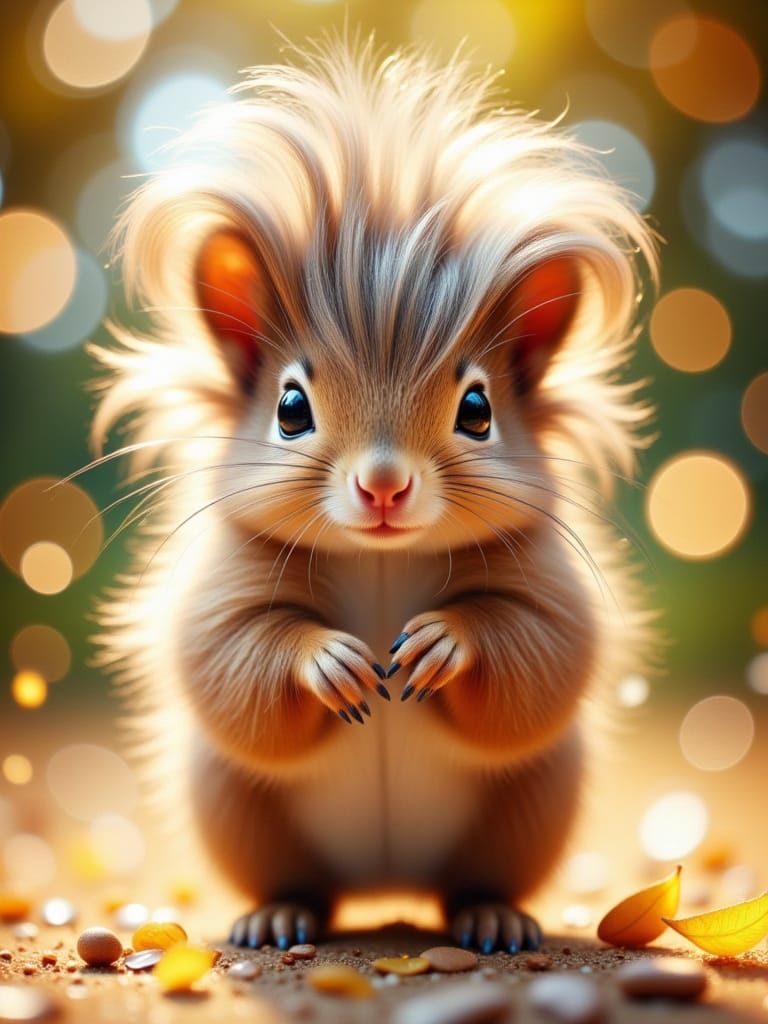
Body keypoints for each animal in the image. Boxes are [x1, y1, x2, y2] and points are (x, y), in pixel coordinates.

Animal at [89, 37, 657, 953]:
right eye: (290, 408)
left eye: (478, 410)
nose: (383, 485)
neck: (383, 561)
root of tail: (386, 886)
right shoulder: (225, 584)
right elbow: (226, 658)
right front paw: (327, 660)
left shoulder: (546, 583)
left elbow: (544, 654)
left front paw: (444, 644)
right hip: (241, 811)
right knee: (300, 881)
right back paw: (278, 914)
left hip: (525, 809)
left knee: (473, 879)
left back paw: (491, 915)